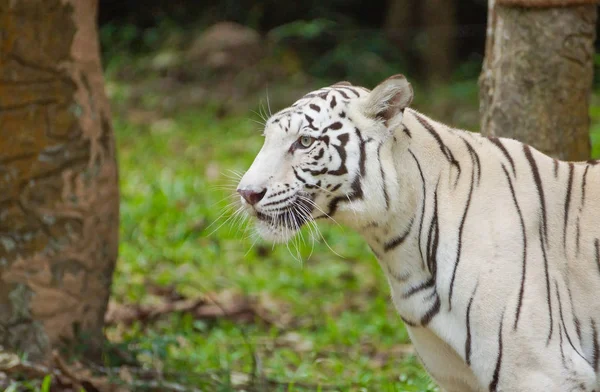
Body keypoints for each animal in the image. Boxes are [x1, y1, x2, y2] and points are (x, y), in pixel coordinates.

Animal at [237, 75, 600, 390]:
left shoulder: (539, 370)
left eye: (305, 142)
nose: (246, 193)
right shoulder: (455, 375)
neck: (397, 247)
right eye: (267, 140)